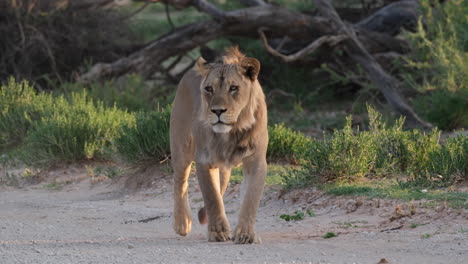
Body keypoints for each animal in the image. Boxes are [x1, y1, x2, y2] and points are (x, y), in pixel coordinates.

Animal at [170, 46, 268, 244]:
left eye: (233, 88)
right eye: (209, 89)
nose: (217, 111)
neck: (234, 130)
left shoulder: (256, 161)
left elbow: (250, 199)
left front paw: (246, 234)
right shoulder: (204, 160)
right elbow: (212, 197)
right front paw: (218, 232)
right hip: (181, 147)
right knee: (180, 181)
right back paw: (182, 223)